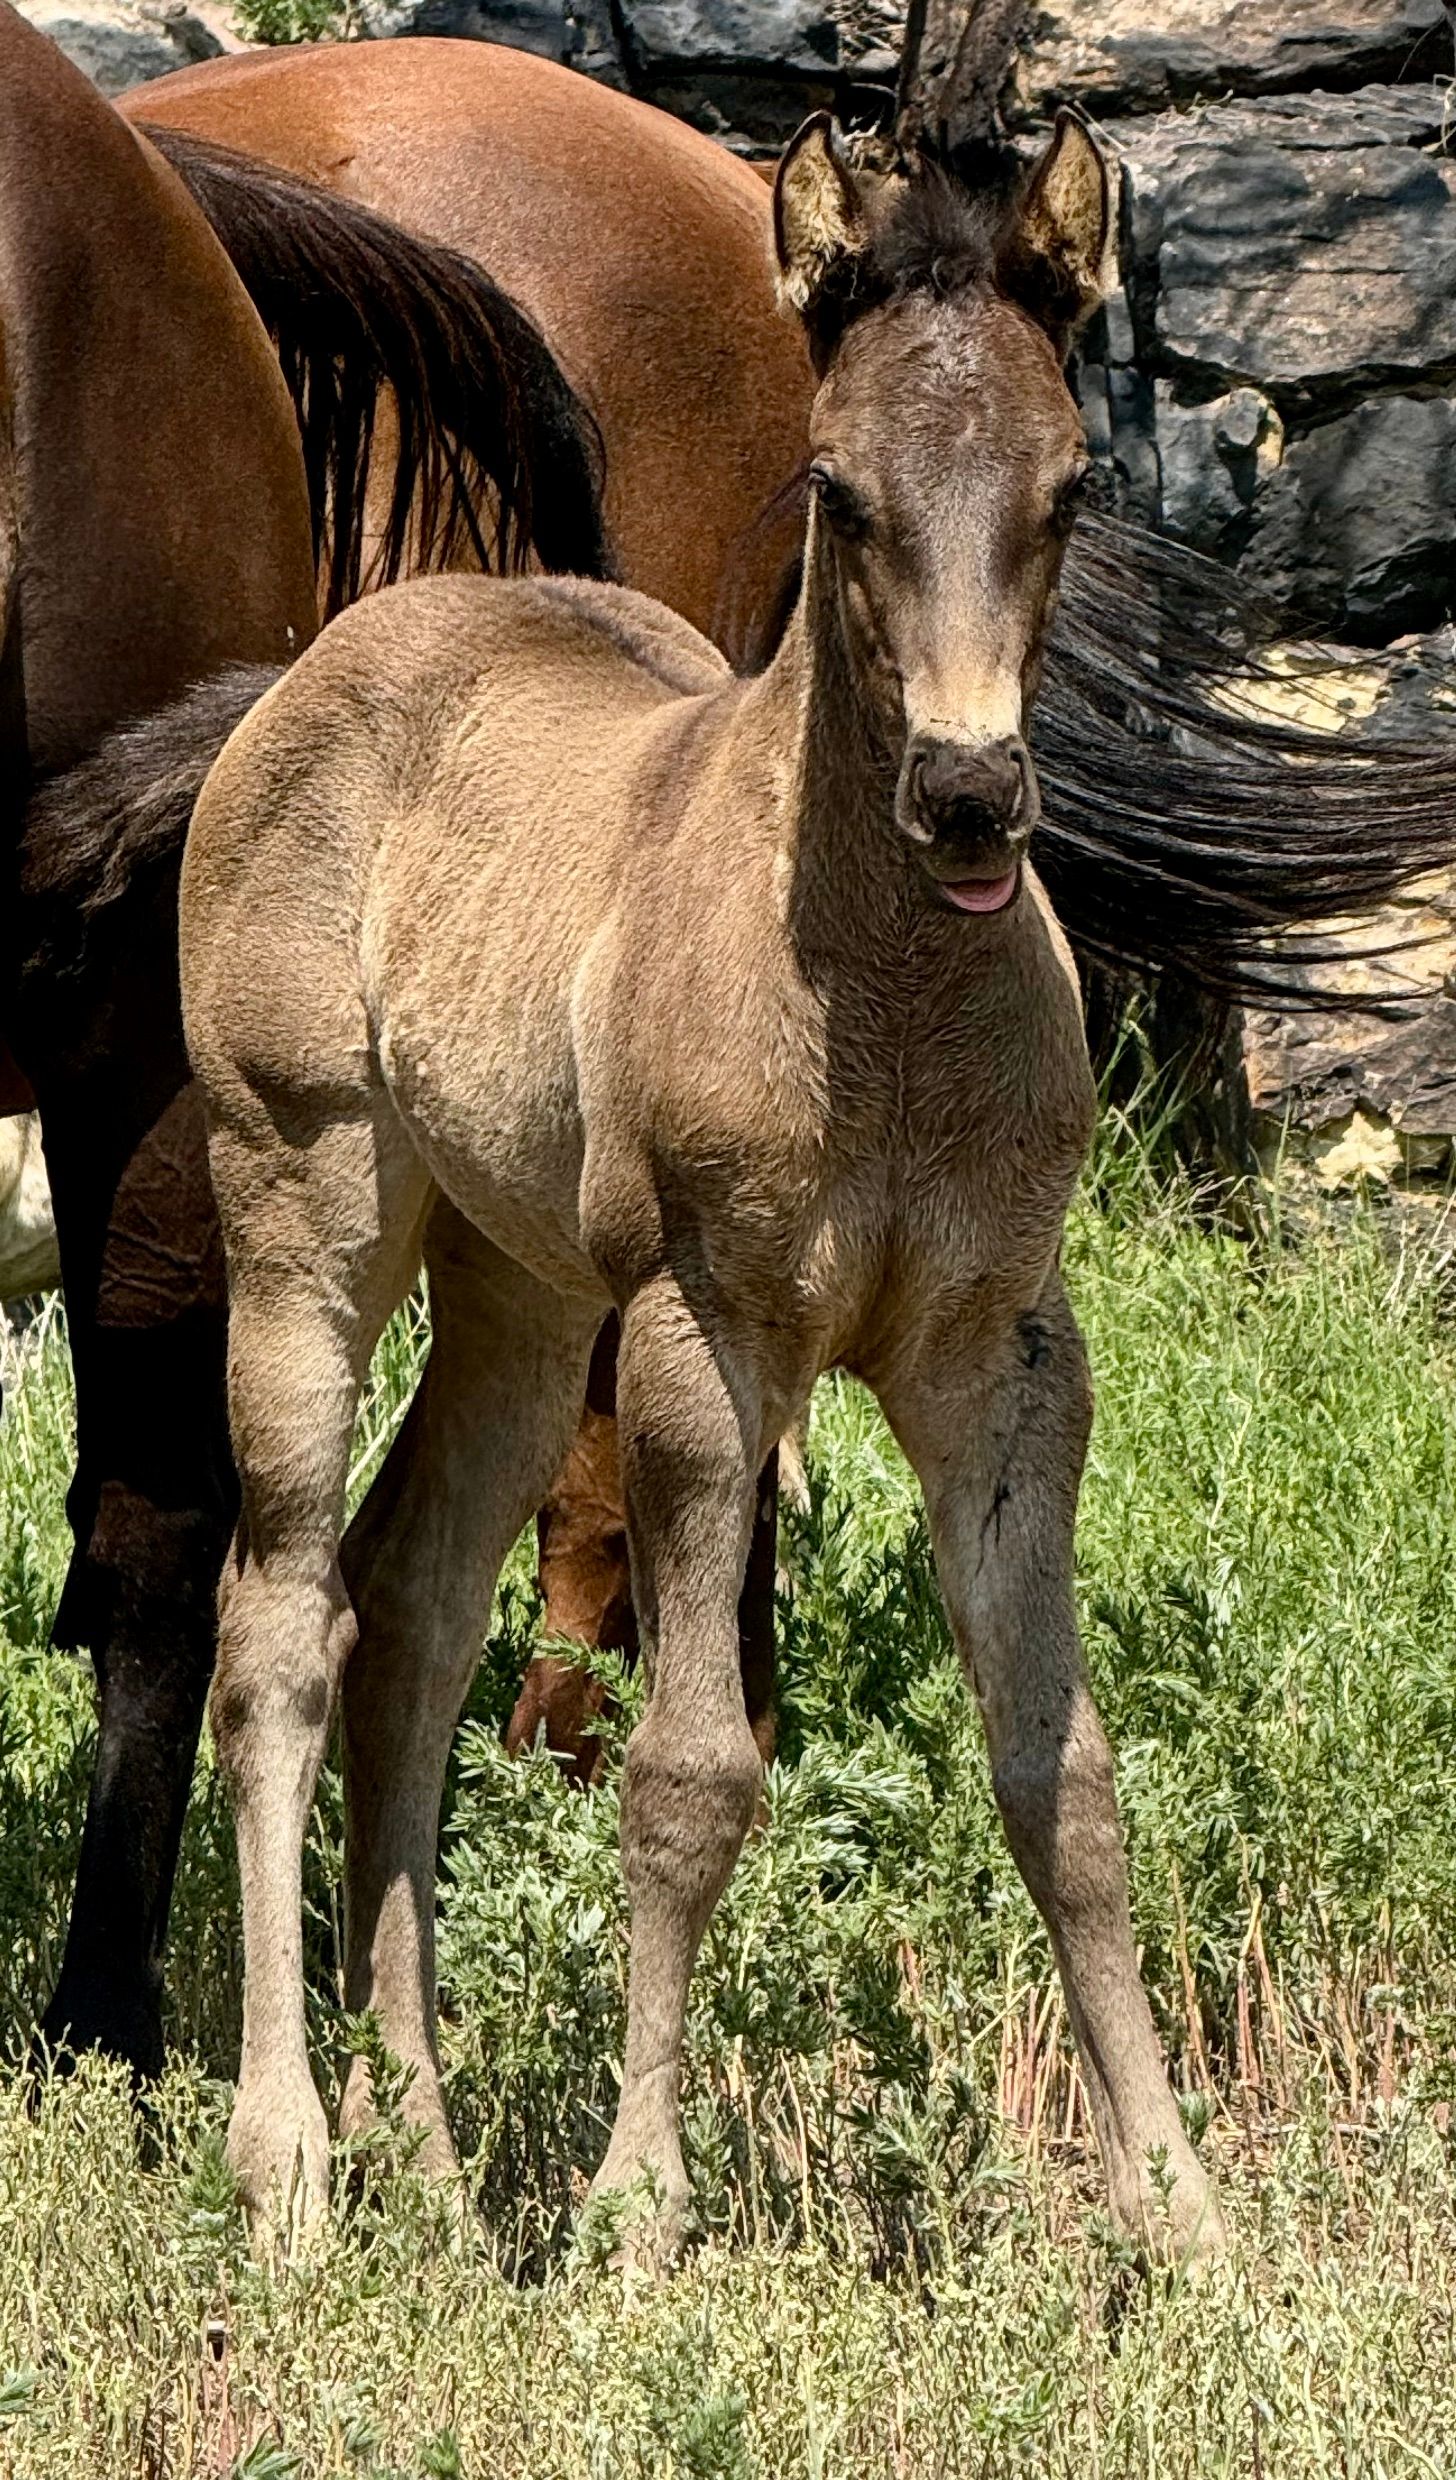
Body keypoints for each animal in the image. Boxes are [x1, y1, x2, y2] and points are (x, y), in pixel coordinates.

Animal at [170, 112, 1231, 2266]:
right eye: (834, 487)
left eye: (1070, 484)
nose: (969, 798)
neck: (885, 1002)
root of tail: (334, 657)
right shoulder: (703, 1334)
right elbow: (684, 1773)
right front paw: (639, 2215)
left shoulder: (1003, 1358)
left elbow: (1063, 1777)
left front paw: (1182, 2216)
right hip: (306, 1201)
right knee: (280, 1622)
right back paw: (291, 2157)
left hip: (517, 1288)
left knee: (410, 1611)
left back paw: (423, 2147)